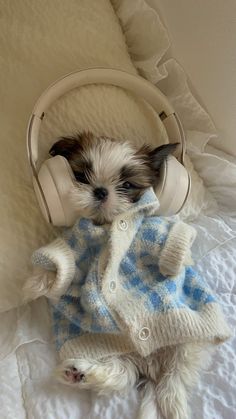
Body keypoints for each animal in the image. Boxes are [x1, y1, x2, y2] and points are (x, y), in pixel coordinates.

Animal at [23, 133, 230, 419]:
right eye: (81, 175)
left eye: (128, 185)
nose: (101, 191)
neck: (106, 226)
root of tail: (151, 366)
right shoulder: (75, 243)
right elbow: (61, 261)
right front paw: (33, 285)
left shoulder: (152, 230)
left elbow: (173, 239)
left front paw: (174, 265)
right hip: (112, 350)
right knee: (121, 374)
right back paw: (79, 373)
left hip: (187, 344)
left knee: (174, 377)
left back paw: (171, 403)